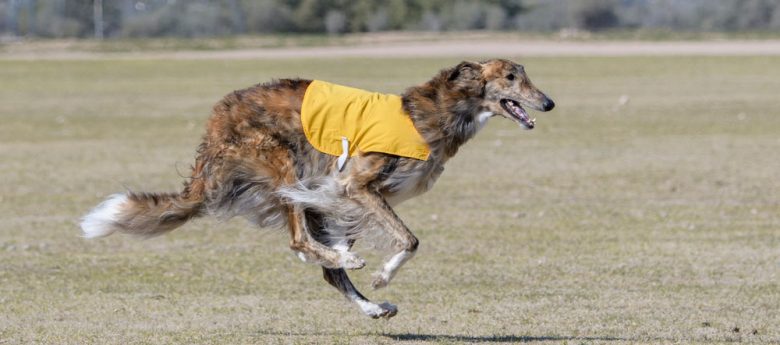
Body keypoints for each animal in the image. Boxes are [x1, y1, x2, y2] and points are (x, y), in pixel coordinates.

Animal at [80, 58, 556, 318]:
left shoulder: (345, 193)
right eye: (510, 77)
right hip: (281, 163)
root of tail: (214, 126)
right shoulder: (355, 183)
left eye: (524, 75)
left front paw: (362, 270)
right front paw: (381, 274)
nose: (549, 103)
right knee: (298, 241)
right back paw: (351, 266)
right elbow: (409, 239)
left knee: (322, 262)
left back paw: (369, 303)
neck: (437, 110)